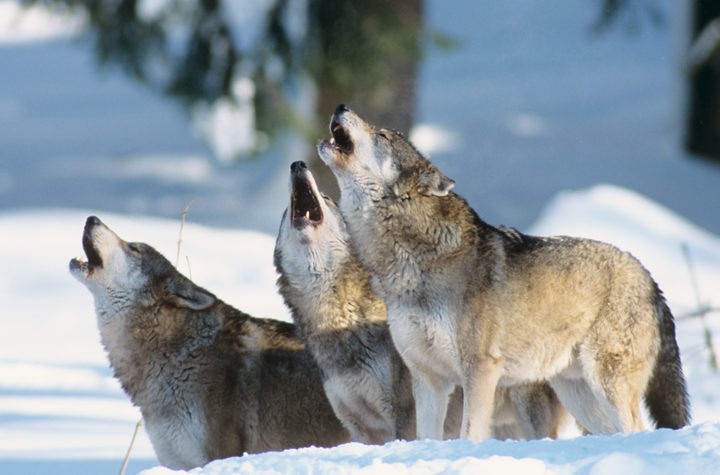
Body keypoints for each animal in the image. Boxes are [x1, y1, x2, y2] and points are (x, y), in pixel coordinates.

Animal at [272, 160, 572, 442]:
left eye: (328, 198)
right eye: (286, 211)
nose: (297, 164)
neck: (335, 320)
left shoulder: (404, 415)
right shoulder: (359, 429)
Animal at [318, 104, 688, 442]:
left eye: (382, 135)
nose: (341, 105)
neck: (410, 261)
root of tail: (647, 276)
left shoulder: (480, 371)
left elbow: (469, 434)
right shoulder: (427, 379)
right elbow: (426, 438)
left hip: (606, 384)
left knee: (638, 429)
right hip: (579, 394)